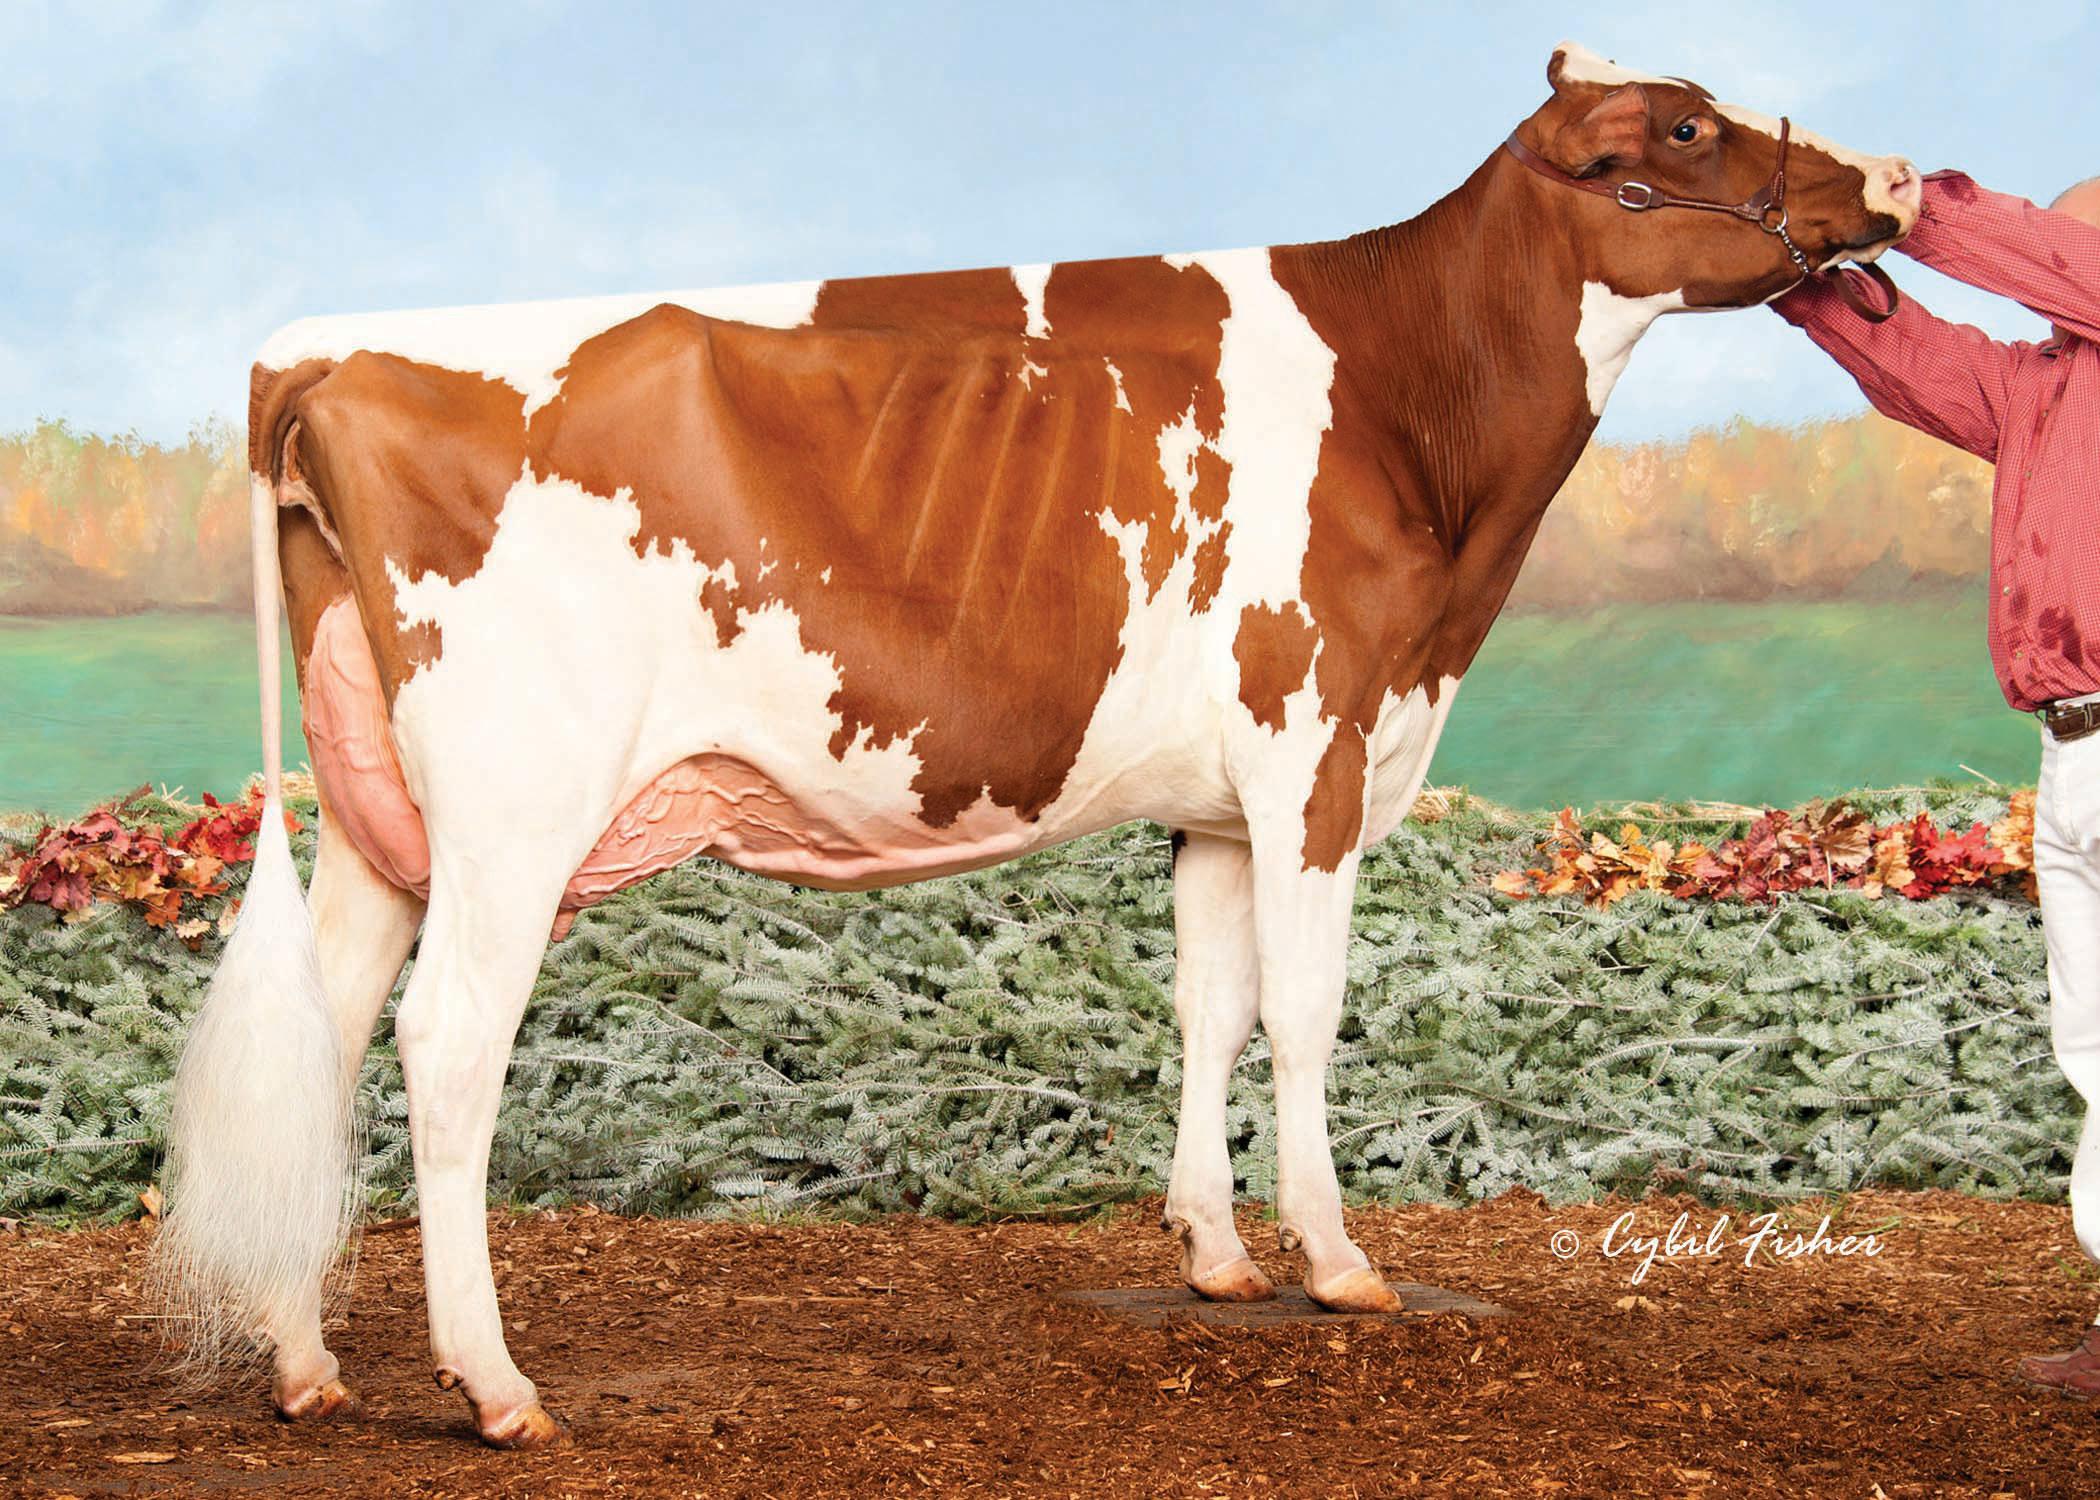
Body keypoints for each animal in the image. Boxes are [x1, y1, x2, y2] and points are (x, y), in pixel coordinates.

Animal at [154, 42, 1919, 1447]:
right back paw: (495, 1386)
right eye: (1682, 129)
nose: (1900, 175)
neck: (1408, 403)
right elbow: (1306, 1014)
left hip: (383, 808)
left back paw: (306, 1366)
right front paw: (1340, 1262)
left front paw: (1216, 1253)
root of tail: (323, 347)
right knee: (447, 1045)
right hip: (517, 803)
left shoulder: (1218, 803)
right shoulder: (1316, 745)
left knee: (327, 1030)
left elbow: (1211, 1007)